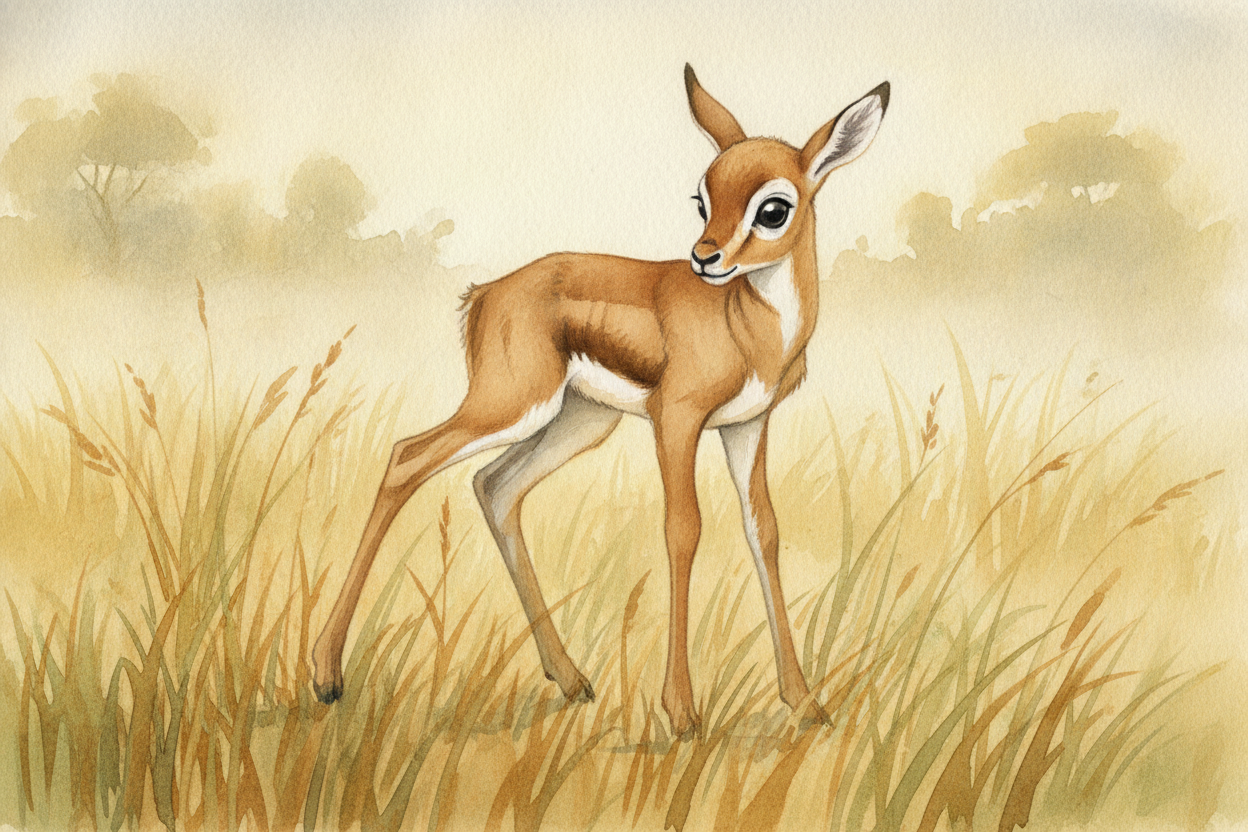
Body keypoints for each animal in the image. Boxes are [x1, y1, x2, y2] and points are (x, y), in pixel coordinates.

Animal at [313, 65, 890, 738]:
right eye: (702, 199)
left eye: (773, 207)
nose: (706, 257)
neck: (746, 322)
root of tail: (485, 295)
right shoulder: (676, 420)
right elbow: (683, 529)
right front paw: (681, 711)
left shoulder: (746, 426)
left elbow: (764, 532)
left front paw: (805, 702)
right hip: (514, 404)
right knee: (409, 455)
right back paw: (326, 675)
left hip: (581, 421)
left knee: (495, 485)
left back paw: (572, 680)